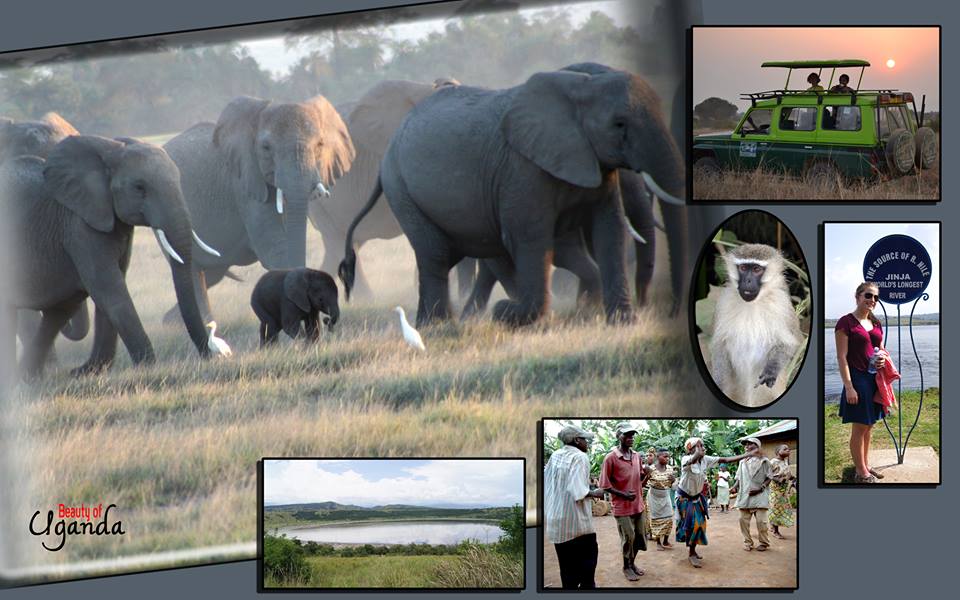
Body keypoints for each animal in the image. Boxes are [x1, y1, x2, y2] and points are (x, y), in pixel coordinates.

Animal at [708, 244, 802, 407]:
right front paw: (719, 385)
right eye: (743, 268)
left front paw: (771, 370)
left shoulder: (783, 305)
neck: (753, 303)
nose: (748, 281)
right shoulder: (723, 303)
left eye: (757, 269)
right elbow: (719, 345)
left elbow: (789, 343)